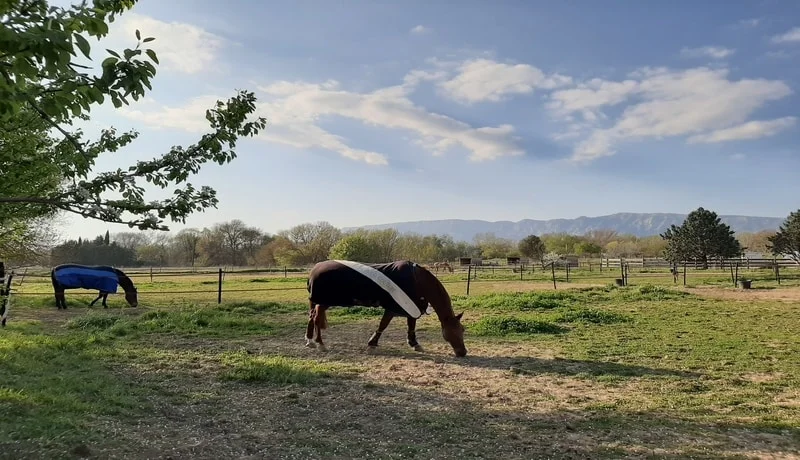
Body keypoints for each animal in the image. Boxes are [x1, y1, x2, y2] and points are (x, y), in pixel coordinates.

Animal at [305, 259, 467, 357]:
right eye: (452, 331)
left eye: (463, 329)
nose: (463, 352)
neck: (417, 280)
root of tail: (314, 270)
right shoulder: (393, 307)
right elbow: (383, 324)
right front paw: (372, 344)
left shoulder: (412, 306)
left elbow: (411, 326)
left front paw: (414, 344)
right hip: (323, 302)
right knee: (316, 318)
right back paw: (320, 343)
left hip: (318, 301)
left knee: (312, 317)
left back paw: (310, 341)